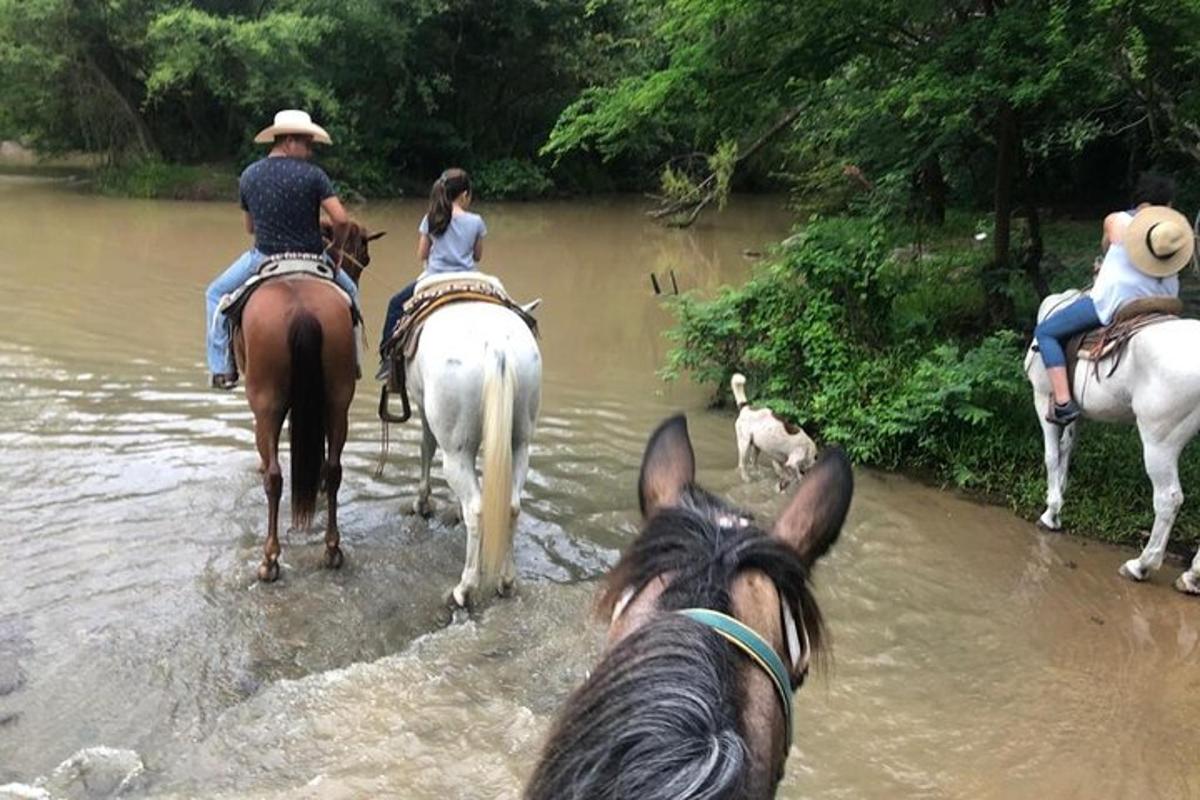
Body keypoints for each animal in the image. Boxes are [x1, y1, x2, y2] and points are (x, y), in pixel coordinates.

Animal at [231, 221, 386, 578]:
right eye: (366, 258)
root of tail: (301, 309)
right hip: (338, 399)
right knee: (334, 468)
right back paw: (332, 549)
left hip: (266, 403)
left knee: (274, 477)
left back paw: (270, 560)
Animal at [410, 298, 547, 606]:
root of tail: (497, 346)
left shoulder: (424, 408)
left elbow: (426, 446)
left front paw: (423, 503)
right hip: (519, 443)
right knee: (512, 505)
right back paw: (506, 582)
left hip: (455, 451)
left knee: (476, 508)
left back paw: (465, 588)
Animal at [1022, 289, 1200, 594]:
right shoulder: (1073, 411)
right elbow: (1066, 452)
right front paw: (1059, 503)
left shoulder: (1042, 398)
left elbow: (1051, 456)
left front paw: (1051, 513)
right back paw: (1192, 576)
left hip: (1159, 441)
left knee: (1168, 499)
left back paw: (1141, 565)